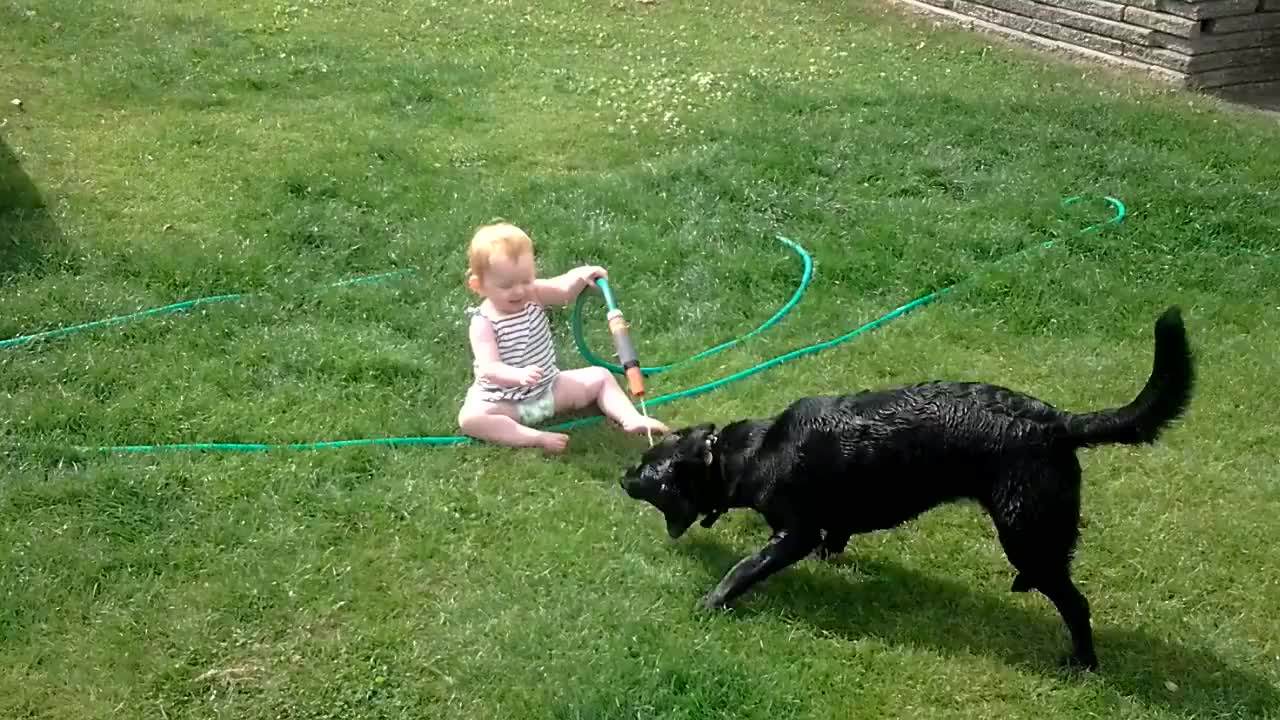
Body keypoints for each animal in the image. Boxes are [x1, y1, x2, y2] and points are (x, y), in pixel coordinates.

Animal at [614, 303, 1192, 666]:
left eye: (647, 470)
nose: (622, 477)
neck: (755, 449)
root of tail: (1054, 421)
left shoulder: (792, 532)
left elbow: (745, 568)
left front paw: (714, 601)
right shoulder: (827, 521)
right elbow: (835, 534)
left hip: (1025, 531)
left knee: (1075, 603)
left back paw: (1082, 662)